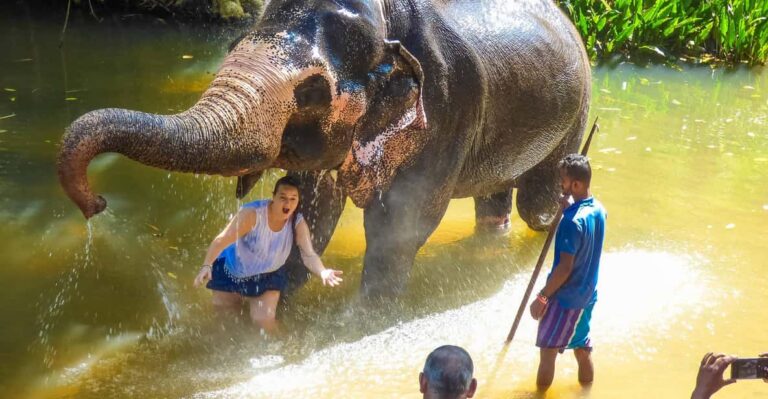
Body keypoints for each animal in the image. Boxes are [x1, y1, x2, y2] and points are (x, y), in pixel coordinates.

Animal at [58, 0, 588, 300]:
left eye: (312, 91)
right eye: (231, 46)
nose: (96, 203)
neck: (387, 17)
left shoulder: (447, 104)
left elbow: (401, 222)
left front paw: (360, 319)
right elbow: (313, 207)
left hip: (574, 109)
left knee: (536, 203)